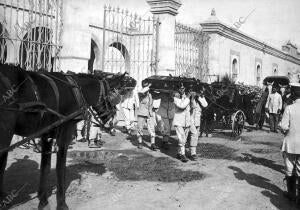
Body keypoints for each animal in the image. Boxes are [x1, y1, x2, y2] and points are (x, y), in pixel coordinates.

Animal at [0, 63, 127, 209]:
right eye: (115, 96)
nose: (114, 120)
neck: (77, 92)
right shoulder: (65, 132)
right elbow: (60, 168)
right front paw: (61, 203)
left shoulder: (47, 134)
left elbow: (45, 167)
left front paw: (43, 201)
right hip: (5, 133)